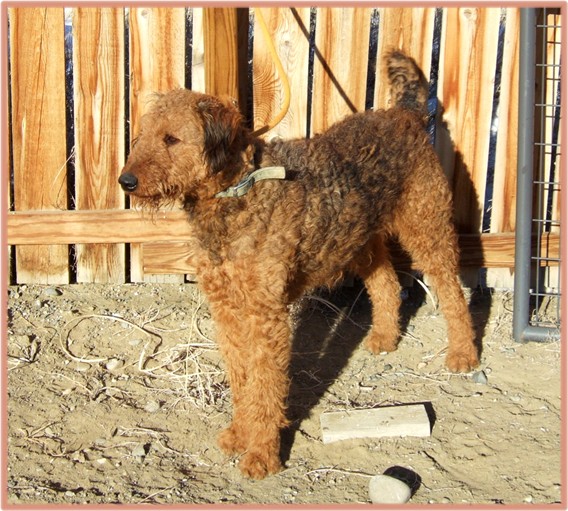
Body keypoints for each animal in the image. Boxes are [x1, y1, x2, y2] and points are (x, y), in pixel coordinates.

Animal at [118, 51, 480, 480]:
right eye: (142, 135)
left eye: (171, 138)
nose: (126, 181)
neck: (238, 191)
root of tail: (402, 113)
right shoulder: (228, 309)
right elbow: (242, 378)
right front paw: (239, 433)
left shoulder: (266, 315)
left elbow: (264, 384)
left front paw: (261, 454)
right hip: (359, 239)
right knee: (387, 284)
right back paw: (385, 337)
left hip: (427, 229)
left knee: (453, 293)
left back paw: (463, 355)